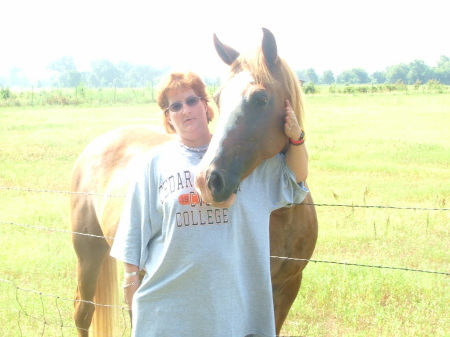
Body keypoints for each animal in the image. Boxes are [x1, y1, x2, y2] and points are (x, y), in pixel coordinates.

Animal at [69, 27, 316, 334]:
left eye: (261, 98)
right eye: (219, 98)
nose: (208, 180)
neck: (283, 211)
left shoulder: (287, 285)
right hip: (88, 251)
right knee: (83, 311)